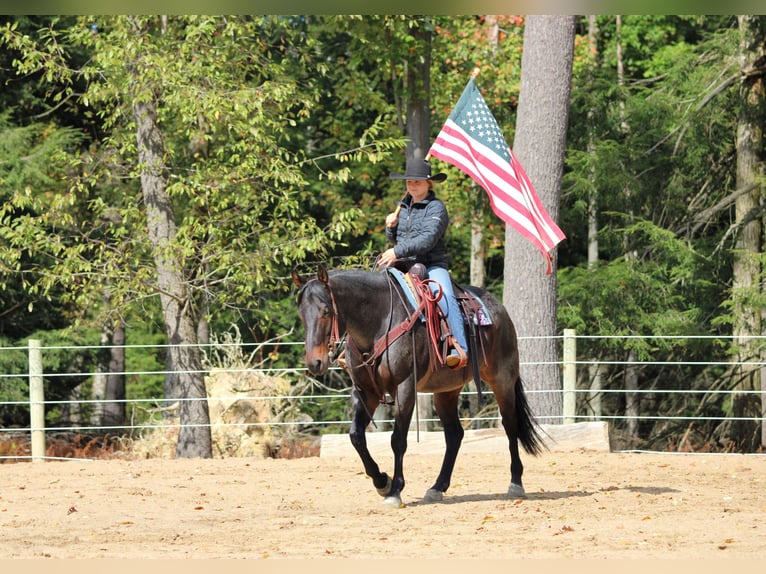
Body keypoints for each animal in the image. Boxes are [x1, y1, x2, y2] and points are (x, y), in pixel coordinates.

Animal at [293, 265, 545, 507]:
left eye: (326, 311)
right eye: (301, 315)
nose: (314, 363)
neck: (379, 321)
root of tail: (498, 308)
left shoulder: (405, 387)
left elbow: (398, 440)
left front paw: (395, 490)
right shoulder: (366, 392)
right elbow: (356, 436)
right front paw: (382, 481)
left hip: (502, 380)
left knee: (510, 426)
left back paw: (515, 484)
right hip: (446, 392)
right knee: (455, 434)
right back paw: (437, 487)